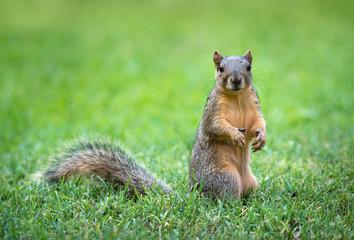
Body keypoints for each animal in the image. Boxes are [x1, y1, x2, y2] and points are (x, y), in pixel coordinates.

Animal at [46, 49, 266, 200]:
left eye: (248, 67)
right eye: (220, 69)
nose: (236, 80)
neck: (236, 97)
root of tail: (194, 195)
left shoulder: (254, 105)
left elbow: (258, 123)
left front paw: (261, 137)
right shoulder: (213, 111)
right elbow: (215, 127)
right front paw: (235, 135)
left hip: (251, 181)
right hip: (225, 178)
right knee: (226, 198)